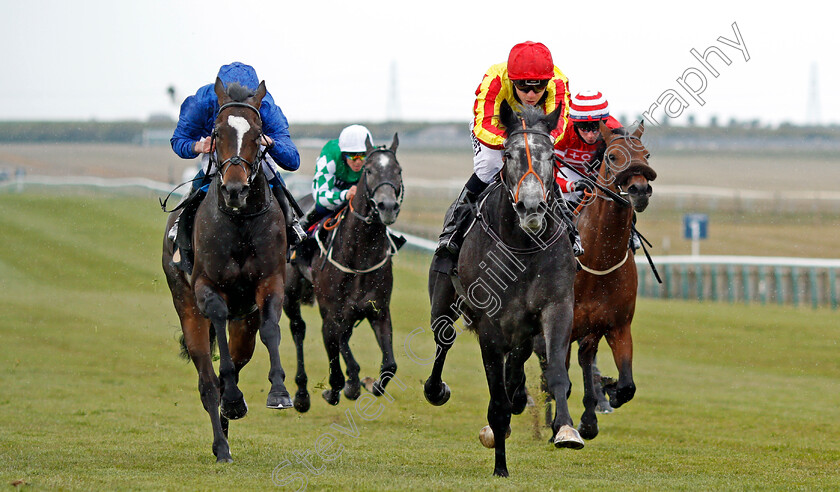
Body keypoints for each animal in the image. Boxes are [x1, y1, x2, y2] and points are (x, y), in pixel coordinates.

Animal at [162, 77, 294, 462]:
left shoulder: (270, 281)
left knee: (235, 359)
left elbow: (271, 330)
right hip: (187, 308)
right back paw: (221, 445)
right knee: (208, 381)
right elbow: (217, 324)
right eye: (216, 133)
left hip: (243, 321)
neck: (239, 222)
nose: (235, 189)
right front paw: (235, 401)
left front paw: (279, 392)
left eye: (259, 133)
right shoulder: (206, 287)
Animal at [282, 135, 404, 412]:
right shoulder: (330, 313)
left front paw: (368, 383)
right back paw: (303, 393)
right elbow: (335, 366)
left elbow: (389, 366)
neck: (360, 258)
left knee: (344, 338)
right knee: (298, 329)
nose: (387, 206)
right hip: (289, 296)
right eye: (369, 170)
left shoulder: (379, 310)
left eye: (398, 170)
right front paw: (337, 389)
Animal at [426, 103, 576, 476]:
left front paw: (566, 429)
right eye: (508, 154)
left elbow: (555, 372)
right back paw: (436, 389)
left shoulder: (557, 306)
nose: (532, 207)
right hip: (443, 304)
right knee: (443, 339)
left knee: (518, 364)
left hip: (522, 329)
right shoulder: (490, 325)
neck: (523, 245)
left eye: (552, 155)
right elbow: (496, 401)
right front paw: (500, 467)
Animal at [540, 121, 656, 440]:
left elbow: (627, 385)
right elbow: (560, 376)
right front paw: (560, 425)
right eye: (613, 156)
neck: (597, 260)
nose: (640, 190)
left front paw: (608, 394)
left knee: (584, 359)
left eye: (646, 154)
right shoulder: (563, 325)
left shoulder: (617, 325)